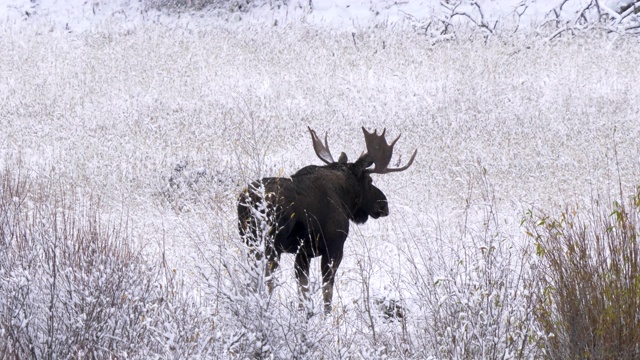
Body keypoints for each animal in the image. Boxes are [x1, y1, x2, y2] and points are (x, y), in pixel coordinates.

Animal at [238, 126, 418, 312]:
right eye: (370, 180)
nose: (383, 204)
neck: (345, 197)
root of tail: (248, 200)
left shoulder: (303, 252)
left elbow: (303, 290)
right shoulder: (334, 247)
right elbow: (327, 292)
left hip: (249, 242)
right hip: (271, 245)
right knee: (267, 280)